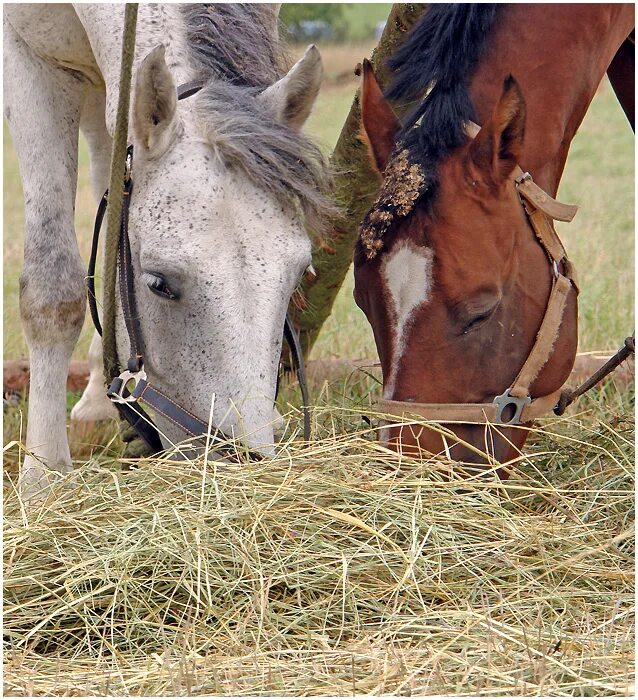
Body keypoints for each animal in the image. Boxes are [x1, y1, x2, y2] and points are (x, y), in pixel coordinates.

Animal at [5, 2, 332, 500]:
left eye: (300, 275)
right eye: (159, 284)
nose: (238, 470)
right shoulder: (27, 57)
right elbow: (51, 291)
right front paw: (44, 478)